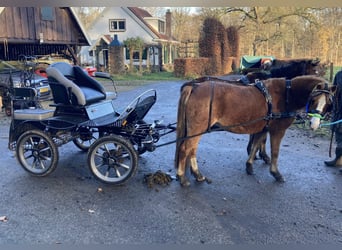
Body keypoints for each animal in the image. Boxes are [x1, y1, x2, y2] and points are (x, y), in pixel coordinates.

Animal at [175, 75, 336, 187]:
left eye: (328, 102)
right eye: (313, 100)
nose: (314, 124)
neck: (286, 95)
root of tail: (194, 87)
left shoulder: (262, 128)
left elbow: (256, 144)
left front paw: (249, 165)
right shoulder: (277, 130)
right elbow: (275, 152)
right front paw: (275, 173)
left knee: (192, 150)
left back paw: (197, 175)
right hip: (197, 128)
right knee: (185, 149)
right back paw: (182, 177)